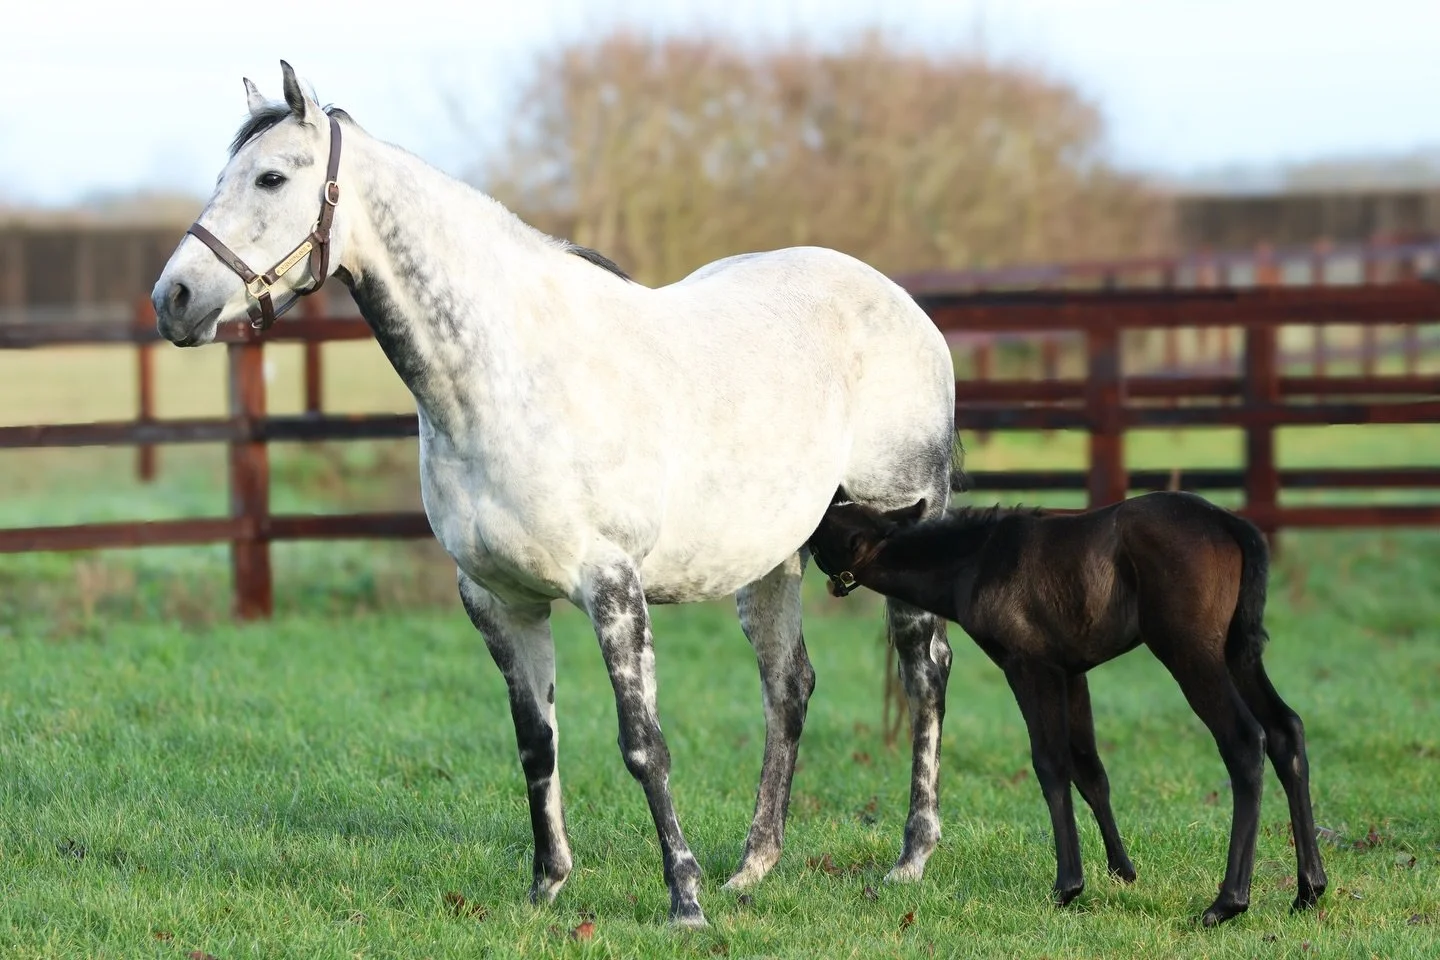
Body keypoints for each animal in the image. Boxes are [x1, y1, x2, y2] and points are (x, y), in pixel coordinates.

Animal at [149, 61, 960, 927]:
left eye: (271, 177)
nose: (174, 299)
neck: (507, 378)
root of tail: (907, 310)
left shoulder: (611, 587)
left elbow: (643, 745)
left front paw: (683, 899)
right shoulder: (500, 600)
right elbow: (536, 742)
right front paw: (548, 886)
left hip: (901, 529)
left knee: (926, 672)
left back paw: (910, 859)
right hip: (773, 557)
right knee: (789, 686)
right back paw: (753, 868)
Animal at [807, 489, 1327, 927]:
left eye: (824, 522)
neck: (976, 562)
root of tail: (1233, 525)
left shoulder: (1029, 666)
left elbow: (1051, 763)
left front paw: (1067, 886)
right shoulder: (1072, 672)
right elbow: (1090, 769)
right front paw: (1122, 870)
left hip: (1191, 652)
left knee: (1244, 740)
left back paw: (1228, 902)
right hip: (1239, 653)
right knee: (1286, 730)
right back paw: (1308, 889)